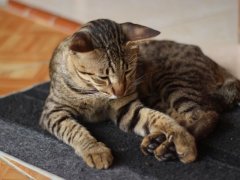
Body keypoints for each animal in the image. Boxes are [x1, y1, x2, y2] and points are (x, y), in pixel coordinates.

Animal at [39, 19, 240, 169]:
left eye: (128, 71)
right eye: (103, 77)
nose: (120, 91)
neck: (94, 93)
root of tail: (217, 65)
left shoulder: (126, 107)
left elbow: (158, 118)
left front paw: (183, 140)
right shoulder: (54, 111)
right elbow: (74, 129)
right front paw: (95, 150)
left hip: (173, 82)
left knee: (206, 115)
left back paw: (166, 146)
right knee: (188, 116)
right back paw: (157, 141)